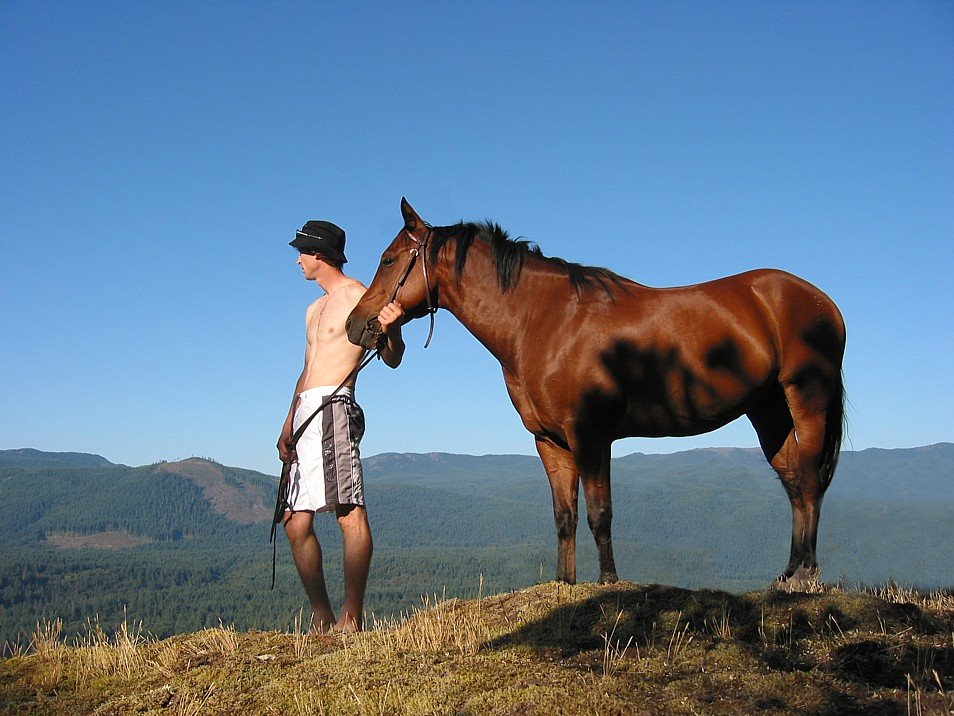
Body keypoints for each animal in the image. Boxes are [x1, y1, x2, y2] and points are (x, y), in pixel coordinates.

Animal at [346, 199, 844, 584]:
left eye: (388, 260)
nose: (356, 325)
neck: (544, 322)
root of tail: (822, 301)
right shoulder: (550, 441)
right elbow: (564, 517)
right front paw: (565, 583)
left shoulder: (590, 435)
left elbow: (598, 513)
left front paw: (608, 581)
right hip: (768, 410)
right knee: (793, 482)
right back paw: (788, 572)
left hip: (807, 398)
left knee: (810, 479)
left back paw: (807, 572)